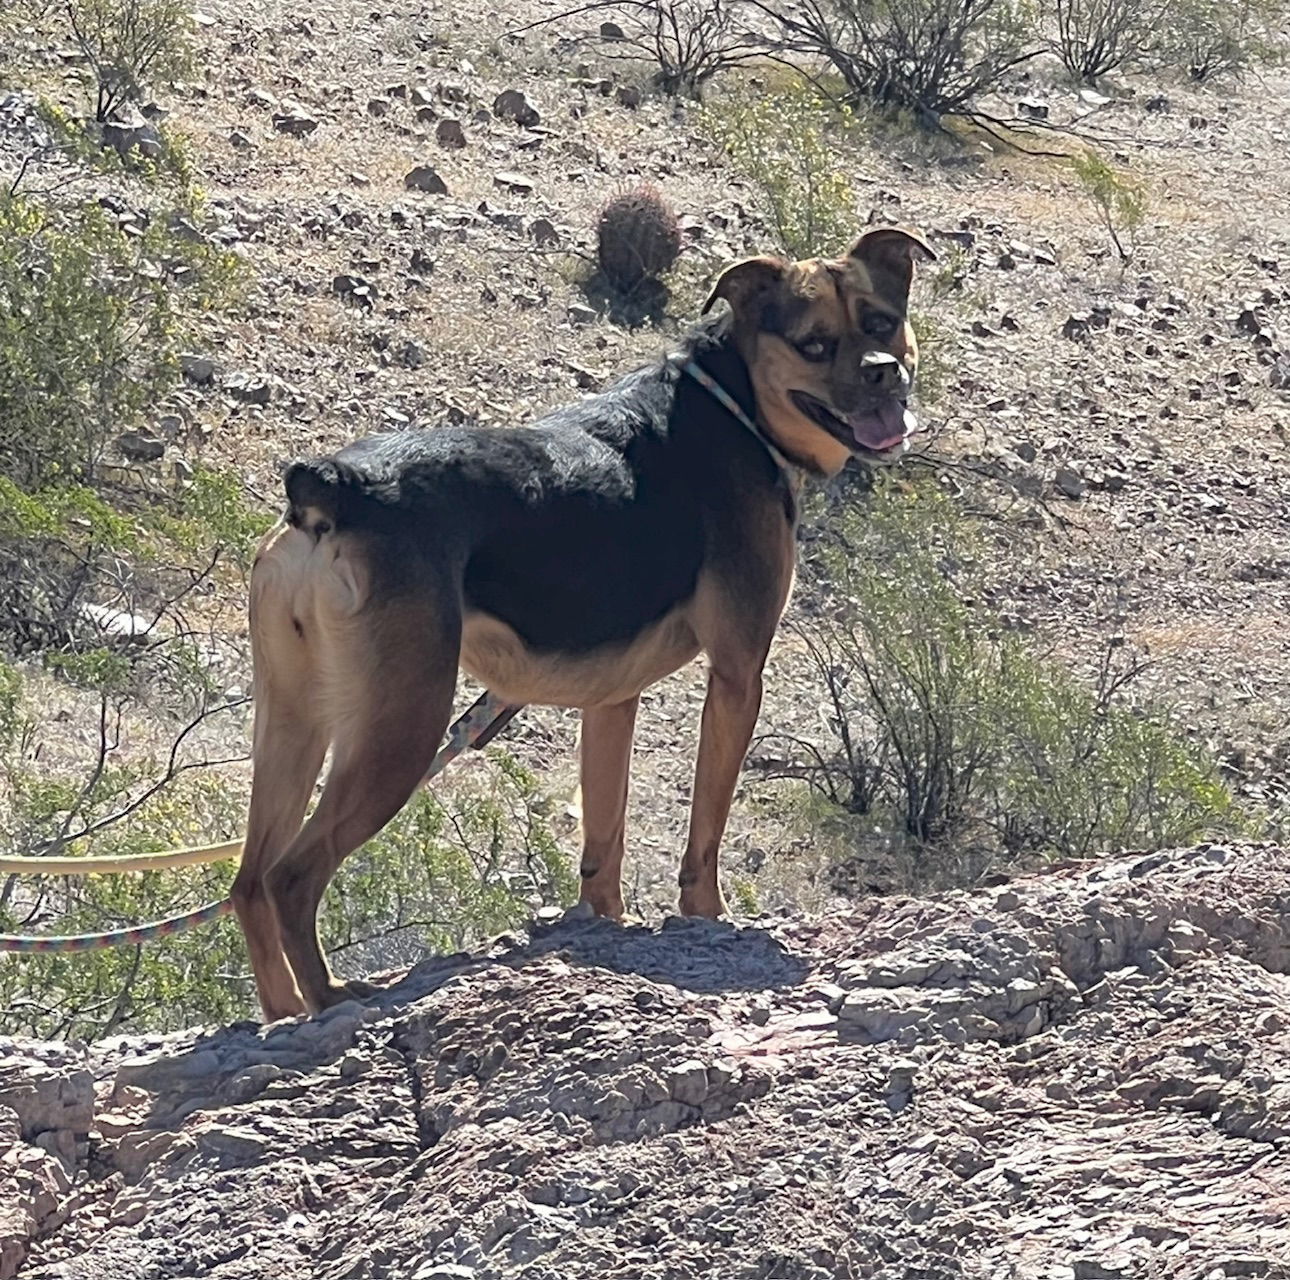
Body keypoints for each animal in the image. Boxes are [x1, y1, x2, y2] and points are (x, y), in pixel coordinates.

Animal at [232, 221, 933, 1021]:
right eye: (815, 343)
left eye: (881, 322)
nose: (883, 374)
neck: (736, 400)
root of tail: (332, 487)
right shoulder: (737, 676)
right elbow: (704, 835)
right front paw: (708, 919)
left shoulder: (612, 701)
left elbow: (604, 844)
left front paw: (606, 928)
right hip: (399, 727)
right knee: (292, 877)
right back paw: (334, 999)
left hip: (293, 721)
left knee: (248, 883)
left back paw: (284, 1012)